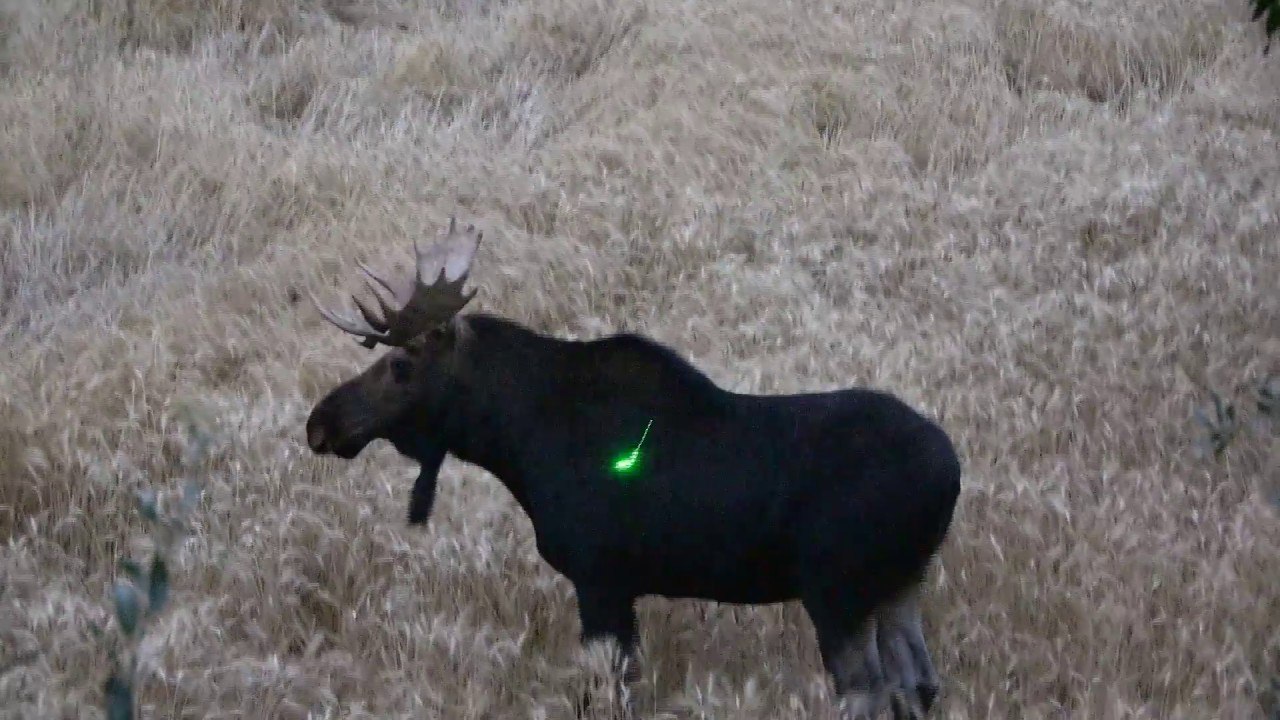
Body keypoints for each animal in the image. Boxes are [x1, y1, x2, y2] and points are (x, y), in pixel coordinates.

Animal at [304, 218, 962, 719]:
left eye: (400, 366)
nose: (320, 422)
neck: (516, 441)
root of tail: (951, 472)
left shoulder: (600, 575)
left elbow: (610, 691)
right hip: (902, 582)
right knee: (919, 684)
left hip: (837, 587)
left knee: (868, 694)